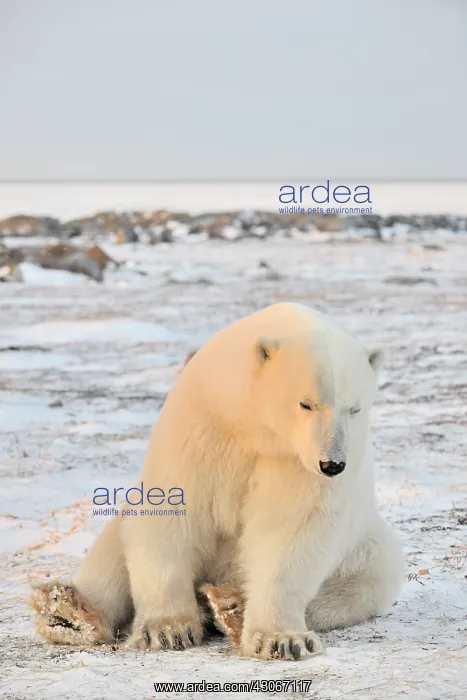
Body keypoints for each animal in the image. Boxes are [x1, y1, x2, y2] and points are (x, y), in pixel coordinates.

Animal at [31, 302, 405, 660]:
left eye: (354, 408)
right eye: (306, 403)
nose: (332, 464)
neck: (252, 427)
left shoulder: (294, 461)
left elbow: (291, 528)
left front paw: (281, 640)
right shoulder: (203, 426)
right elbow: (173, 509)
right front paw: (167, 630)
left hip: (364, 544)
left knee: (369, 577)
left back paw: (231, 605)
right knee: (113, 545)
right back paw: (69, 611)